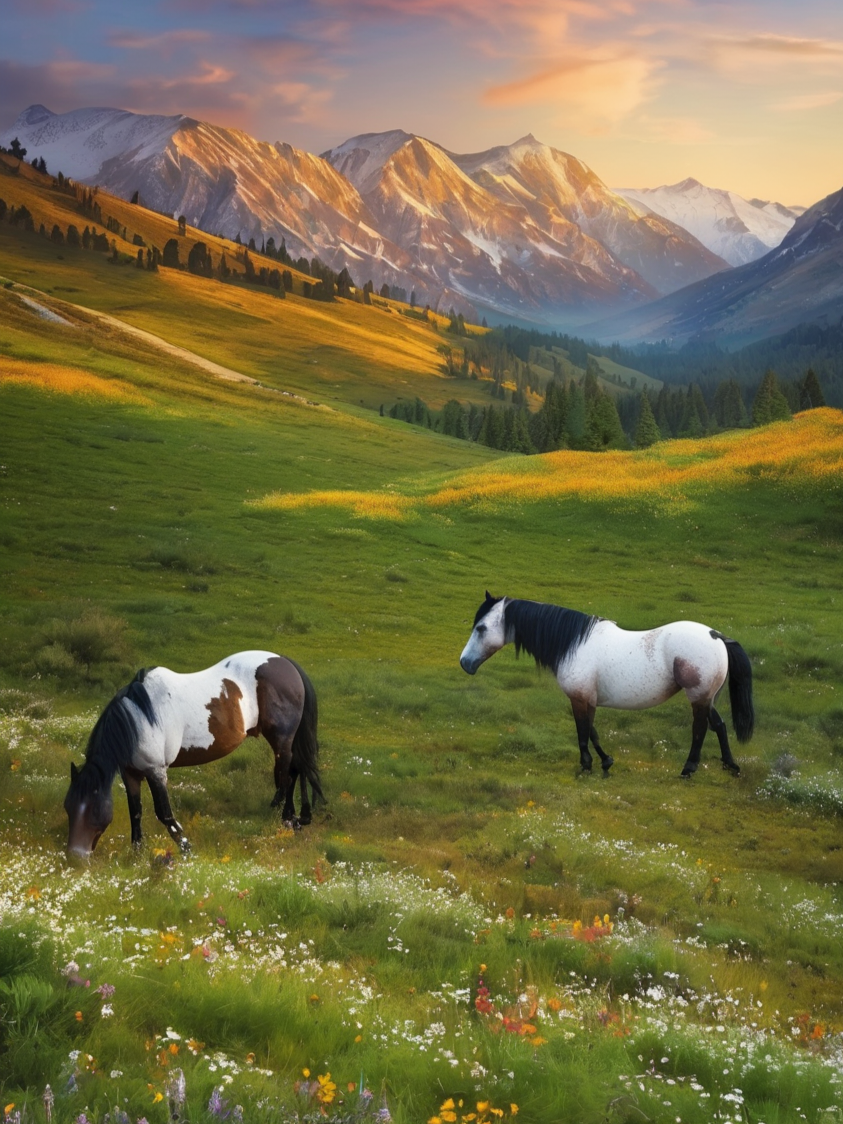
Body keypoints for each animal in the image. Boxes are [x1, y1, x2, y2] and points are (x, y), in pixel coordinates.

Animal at [64, 651, 322, 859]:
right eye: (68, 807)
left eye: (93, 809)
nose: (75, 856)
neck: (138, 718)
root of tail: (284, 661)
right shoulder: (131, 774)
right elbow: (135, 812)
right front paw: (137, 853)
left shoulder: (156, 771)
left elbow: (164, 814)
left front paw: (186, 848)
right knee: (294, 771)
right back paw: (297, 818)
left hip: (282, 740)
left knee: (288, 775)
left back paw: (287, 820)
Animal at [459, 593, 754, 778]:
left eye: (481, 628)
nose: (465, 663)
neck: (574, 644)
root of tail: (715, 635)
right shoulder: (587, 698)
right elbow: (593, 732)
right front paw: (606, 762)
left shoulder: (579, 698)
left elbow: (583, 732)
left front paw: (587, 766)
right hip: (706, 697)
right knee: (719, 726)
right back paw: (730, 765)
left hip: (698, 697)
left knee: (700, 730)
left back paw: (688, 769)